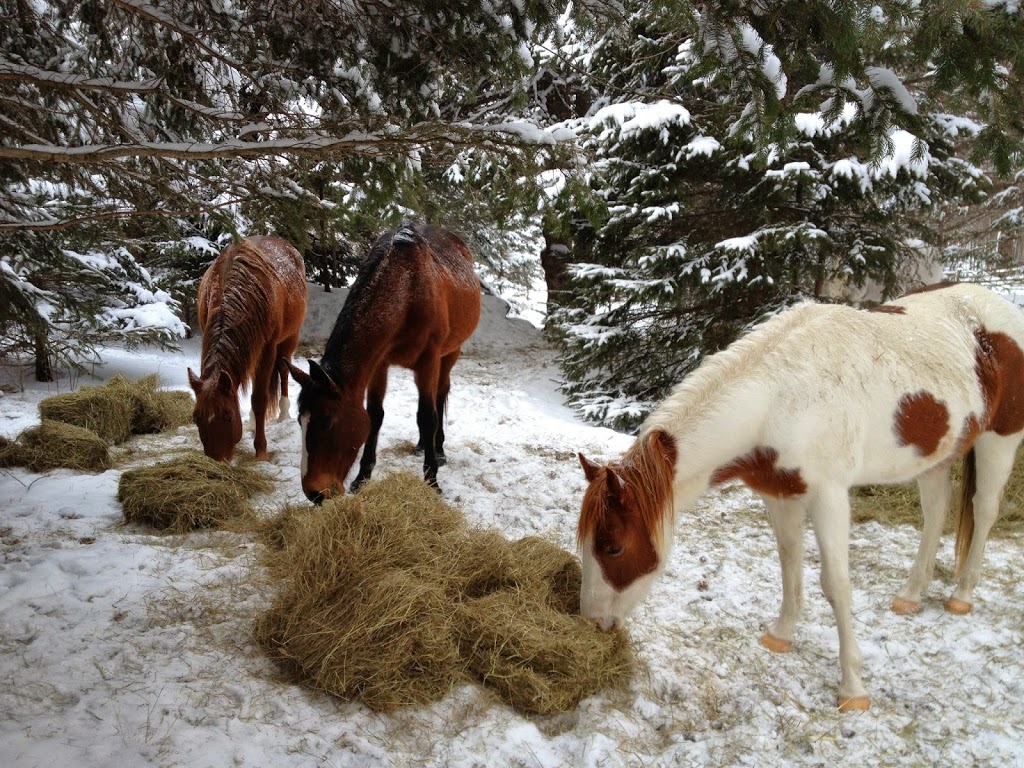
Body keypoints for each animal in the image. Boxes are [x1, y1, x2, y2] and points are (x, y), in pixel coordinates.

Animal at [189, 234, 307, 462]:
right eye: (196, 418)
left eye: (228, 416)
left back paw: (283, 413)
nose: (216, 460)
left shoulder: (267, 348)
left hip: (289, 339)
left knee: (284, 369)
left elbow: (259, 399)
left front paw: (261, 450)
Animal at [286, 222, 481, 501]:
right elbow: (375, 415)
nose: (315, 493)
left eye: (325, 421)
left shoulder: (429, 360)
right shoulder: (380, 363)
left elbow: (428, 416)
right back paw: (422, 444)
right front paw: (362, 477)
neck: (408, 288)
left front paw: (432, 480)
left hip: (449, 355)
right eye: (299, 420)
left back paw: (439, 449)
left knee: (440, 395)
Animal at [577, 284, 1024, 716]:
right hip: (936, 454)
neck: (779, 399)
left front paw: (853, 688)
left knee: (984, 510)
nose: (593, 621)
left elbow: (836, 585)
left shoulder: (829, 497)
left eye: (613, 547)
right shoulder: (780, 494)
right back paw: (911, 595)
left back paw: (961, 596)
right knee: (935, 512)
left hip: (999, 440)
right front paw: (781, 635)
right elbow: (789, 561)